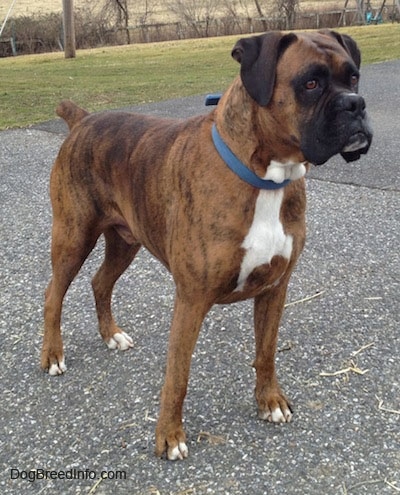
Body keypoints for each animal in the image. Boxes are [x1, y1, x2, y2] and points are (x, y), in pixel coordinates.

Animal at [41, 30, 372, 462]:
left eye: (353, 77)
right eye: (311, 83)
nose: (356, 104)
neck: (265, 176)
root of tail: (82, 119)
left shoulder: (275, 289)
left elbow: (266, 352)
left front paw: (270, 401)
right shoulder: (192, 299)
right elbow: (178, 374)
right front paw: (169, 436)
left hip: (125, 241)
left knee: (100, 282)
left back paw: (112, 334)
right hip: (72, 237)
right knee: (53, 295)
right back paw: (52, 355)